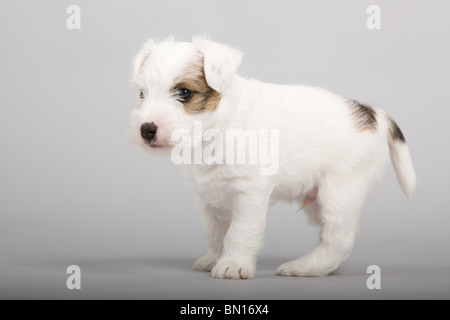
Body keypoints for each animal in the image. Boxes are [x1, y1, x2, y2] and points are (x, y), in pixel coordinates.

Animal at [128, 36, 416, 278]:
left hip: (339, 191)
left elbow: (240, 231)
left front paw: (233, 265)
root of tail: (372, 114)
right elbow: (216, 233)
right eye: (142, 94)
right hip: (318, 202)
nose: (146, 129)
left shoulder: (248, 193)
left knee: (339, 238)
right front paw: (215, 258)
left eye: (184, 93)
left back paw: (305, 267)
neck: (219, 126)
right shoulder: (209, 200)